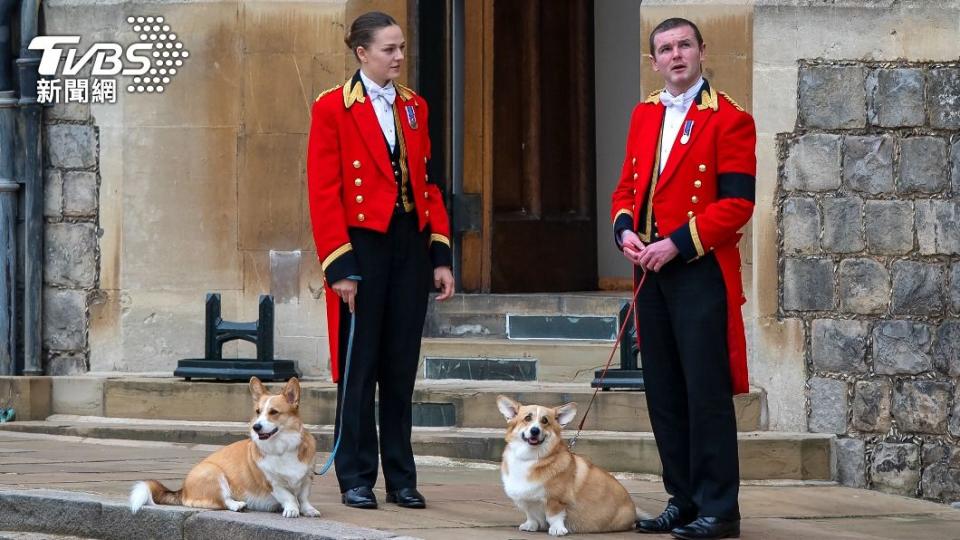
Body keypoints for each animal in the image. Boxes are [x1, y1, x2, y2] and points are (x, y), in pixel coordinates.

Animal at [127, 376, 320, 520]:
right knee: (224, 501)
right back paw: (237, 504)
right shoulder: (273, 483)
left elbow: (303, 497)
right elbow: (289, 497)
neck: (282, 447)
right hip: (215, 474)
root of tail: (182, 491)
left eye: (273, 412)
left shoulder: (307, 479)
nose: (256, 427)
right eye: (258, 412)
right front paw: (292, 510)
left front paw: (308, 510)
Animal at [496, 396, 636, 536]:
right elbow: (531, 515)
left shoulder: (556, 500)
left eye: (545, 420)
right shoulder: (526, 501)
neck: (530, 458)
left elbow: (554, 516)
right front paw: (530, 525)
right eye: (527, 418)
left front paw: (557, 529)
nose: (535, 430)